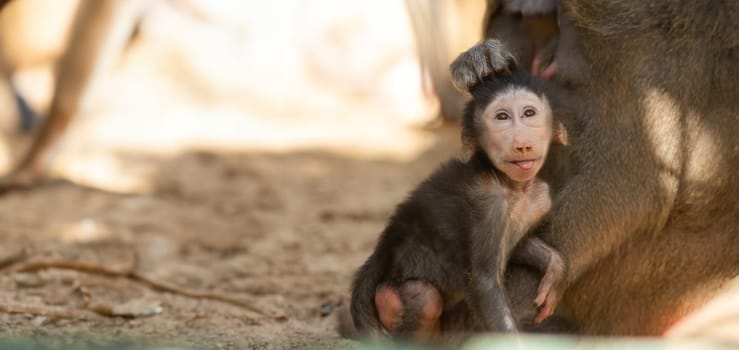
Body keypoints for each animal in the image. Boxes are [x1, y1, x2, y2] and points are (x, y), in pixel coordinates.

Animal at [350, 69, 568, 340]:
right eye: (502, 117)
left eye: (529, 113)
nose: (522, 144)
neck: (513, 186)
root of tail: (377, 260)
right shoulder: (488, 202)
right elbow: (484, 281)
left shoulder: (539, 197)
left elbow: (518, 245)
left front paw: (555, 267)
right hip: (389, 298)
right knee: (425, 298)